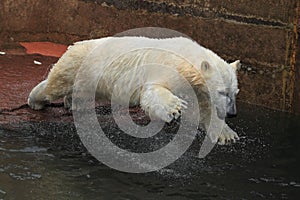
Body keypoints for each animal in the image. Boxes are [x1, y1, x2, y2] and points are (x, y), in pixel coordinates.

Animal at [27, 36, 239, 145]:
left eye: (234, 92)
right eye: (222, 91)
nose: (233, 113)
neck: (185, 60)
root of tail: (75, 44)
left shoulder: (198, 89)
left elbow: (205, 110)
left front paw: (227, 135)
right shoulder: (168, 68)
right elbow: (153, 92)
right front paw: (174, 108)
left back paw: (72, 103)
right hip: (79, 64)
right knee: (55, 84)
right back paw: (35, 100)